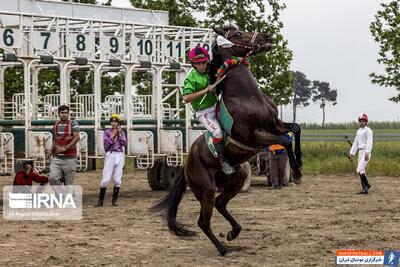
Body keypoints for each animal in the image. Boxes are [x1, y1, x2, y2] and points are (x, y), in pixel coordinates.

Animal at [153, 26, 304, 256]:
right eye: (238, 34)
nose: (267, 37)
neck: (248, 97)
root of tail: (187, 164)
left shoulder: (275, 125)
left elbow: (294, 129)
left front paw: (299, 165)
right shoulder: (256, 136)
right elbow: (284, 140)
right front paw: (296, 173)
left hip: (236, 179)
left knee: (220, 203)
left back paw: (234, 232)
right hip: (205, 190)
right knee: (203, 221)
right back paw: (223, 249)